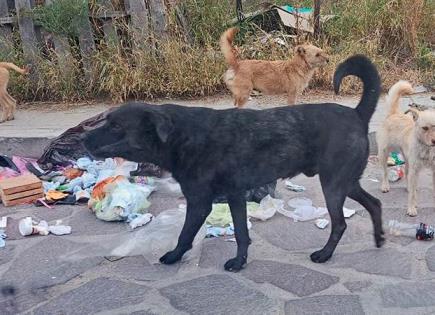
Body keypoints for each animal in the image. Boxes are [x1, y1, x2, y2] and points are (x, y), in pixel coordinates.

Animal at [85, 54, 384, 272]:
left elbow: (185, 235)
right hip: (346, 182)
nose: (84, 138)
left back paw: (325, 254)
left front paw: (173, 256)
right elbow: (241, 232)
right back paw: (379, 237)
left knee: (340, 224)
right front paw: (240, 261)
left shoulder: (199, 203)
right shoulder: (236, 197)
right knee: (375, 203)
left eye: (116, 126)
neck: (182, 136)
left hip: (333, 185)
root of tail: (357, 114)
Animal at [376, 80, 435, 216]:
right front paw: (412, 208)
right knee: (385, 171)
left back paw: (408, 186)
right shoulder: (415, 170)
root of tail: (393, 114)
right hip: (383, 153)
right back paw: (385, 186)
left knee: (407, 173)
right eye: (425, 128)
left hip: (407, 158)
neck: (427, 149)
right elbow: (412, 195)